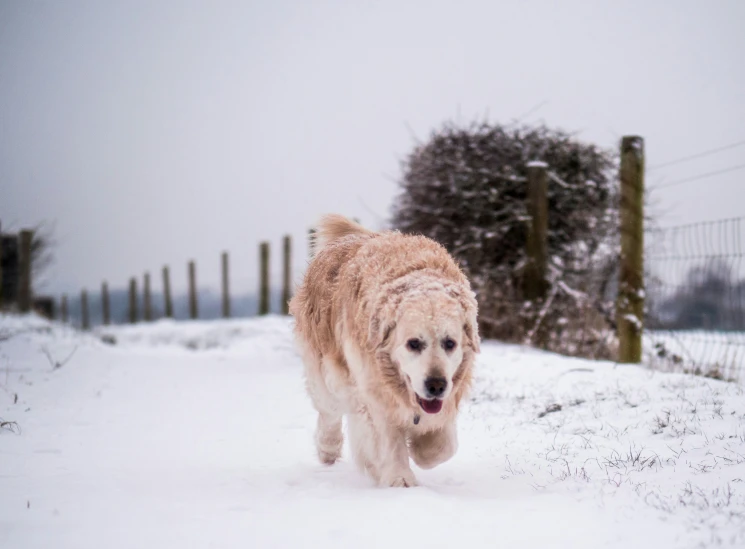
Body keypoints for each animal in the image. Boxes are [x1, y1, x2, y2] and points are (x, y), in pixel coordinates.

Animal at [288, 214, 480, 488]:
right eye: (413, 343)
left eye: (450, 343)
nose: (436, 385)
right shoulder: (373, 391)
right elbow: (388, 440)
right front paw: (399, 478)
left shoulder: (450, 393)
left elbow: (443, 447)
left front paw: (421, 449)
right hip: (326, 373)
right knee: (329, 413)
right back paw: (328, 449)